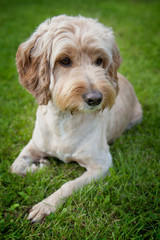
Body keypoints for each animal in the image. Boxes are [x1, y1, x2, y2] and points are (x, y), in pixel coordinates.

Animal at [10, 14, 142, 221]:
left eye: (99, 61)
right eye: (64, 60)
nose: (95, 98)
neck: (64, 120)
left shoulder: (101, 165)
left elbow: (68, 185)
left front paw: (46, 205)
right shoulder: (33, 145)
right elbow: (15, 167)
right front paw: (39, 168)